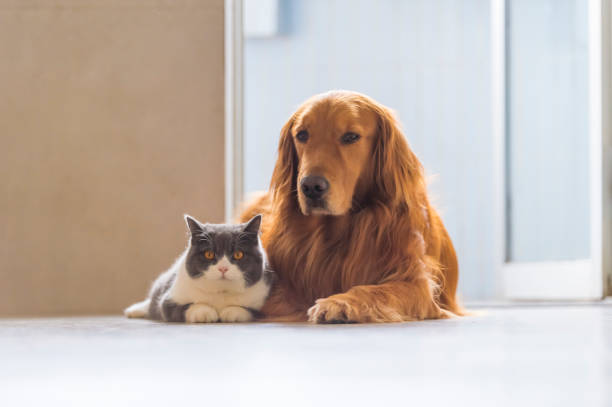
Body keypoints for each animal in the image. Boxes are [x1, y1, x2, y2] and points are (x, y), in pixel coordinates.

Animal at [239, 91, 460, 324]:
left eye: (351, 137)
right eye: (302, 135)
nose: (311, 187)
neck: (335, 233)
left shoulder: (416, 284)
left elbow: (375, 290)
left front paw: (338, 303)